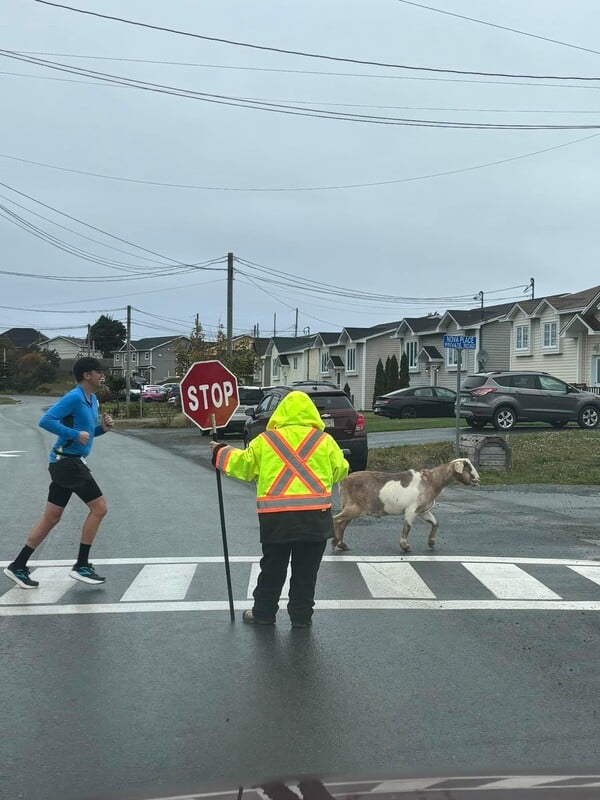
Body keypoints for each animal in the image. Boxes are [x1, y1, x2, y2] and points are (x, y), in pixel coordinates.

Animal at [332, 456, 478, 552]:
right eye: (468, 468)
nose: (478, 479)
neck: (432, 481)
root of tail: (343, 481)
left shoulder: (423, 511)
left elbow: (435, 522)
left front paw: (431, 542)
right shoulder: (411, 509)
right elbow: (407, 527)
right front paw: (405, 546)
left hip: (350, 506)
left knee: (342, 523)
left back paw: (341, 544)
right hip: (354, 507)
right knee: (336, 519)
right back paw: (335, 542)